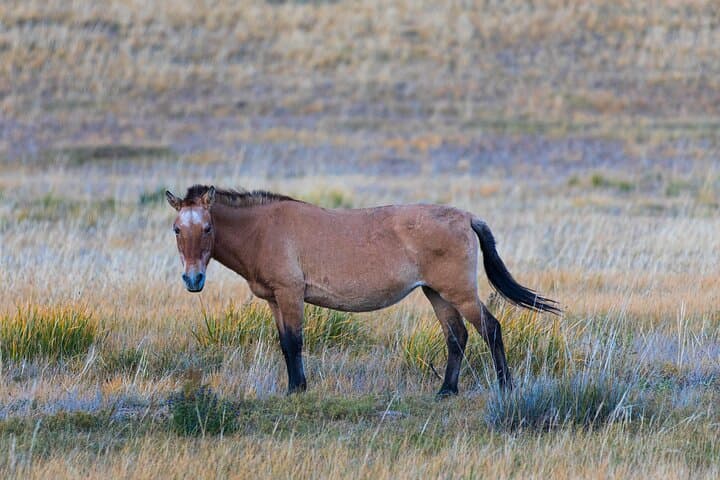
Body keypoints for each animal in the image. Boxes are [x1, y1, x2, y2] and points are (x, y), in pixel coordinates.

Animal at [165, 185, 560, 395]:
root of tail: (466, 217)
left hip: (459, 292)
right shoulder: (276, 301)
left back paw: (505, 387)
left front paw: (298, 389)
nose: (193, 280)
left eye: (207, 228)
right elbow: (284, 343)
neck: (263, 230)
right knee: (457, 336)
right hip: (437, 293)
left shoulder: (290, 295)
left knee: (490, 328)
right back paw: (446, 391)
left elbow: (294, 342)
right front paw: (294, 387)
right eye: (176, 229)